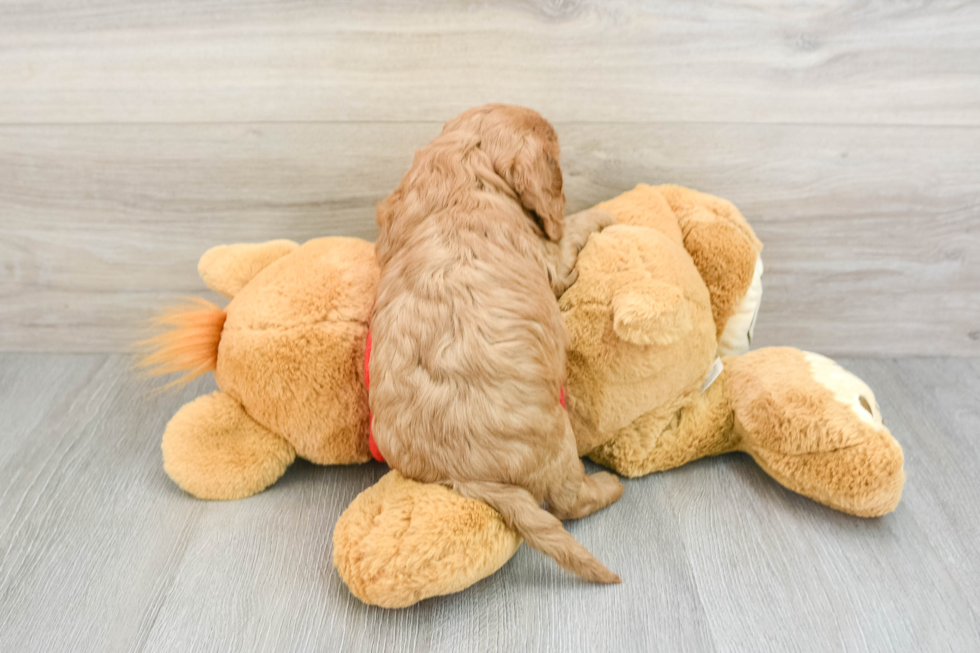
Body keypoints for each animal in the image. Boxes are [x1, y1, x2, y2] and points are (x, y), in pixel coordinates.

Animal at [372, 104, 624, 584]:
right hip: (556, 437)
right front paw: (605, 215)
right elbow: (569, 231)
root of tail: (461, 476)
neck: (462, 180)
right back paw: (608, 486)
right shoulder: (550, 257)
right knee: (568, 501)